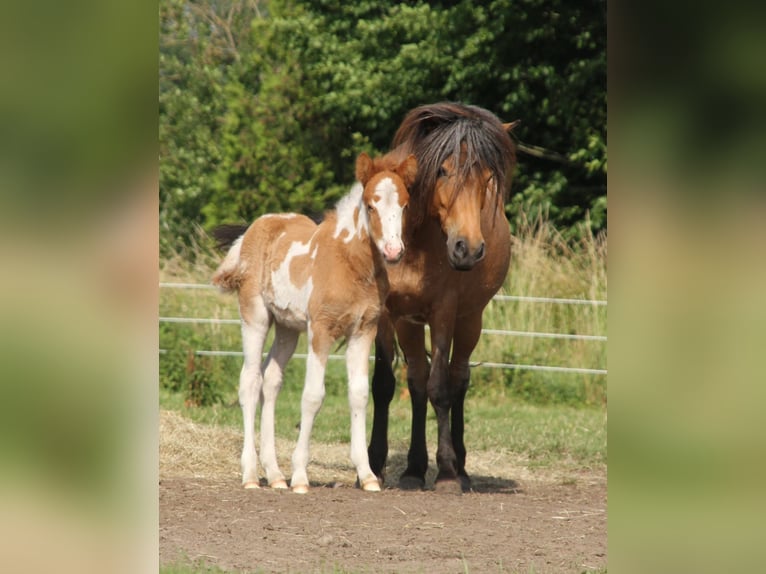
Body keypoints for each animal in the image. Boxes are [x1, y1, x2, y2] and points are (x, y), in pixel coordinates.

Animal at [212, 151, 416, 493]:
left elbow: (359, 394)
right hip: (256, 317)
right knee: (250, 381)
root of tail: (253, 229)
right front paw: (300, 476)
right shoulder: (321, 330)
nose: (392, 251)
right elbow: (313, 396)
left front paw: (367, 475)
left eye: (403, 205)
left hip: (287, 328)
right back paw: (252, 474)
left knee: (270, 380)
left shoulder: (364, 330)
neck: (350, 264)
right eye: (370, 205)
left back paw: (275, 475)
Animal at [367, 102, 518, 493]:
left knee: (457, 378)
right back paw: (414, 469)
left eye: (487, 178)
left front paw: (448, 472)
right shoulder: (388, 314)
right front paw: (375, 464)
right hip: (409, 322)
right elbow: (386, 385)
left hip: (470, 320)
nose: (468, 249)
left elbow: (441, 388)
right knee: (417, 382)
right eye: (443, 170)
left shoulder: (444, 313)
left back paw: (460, 468)